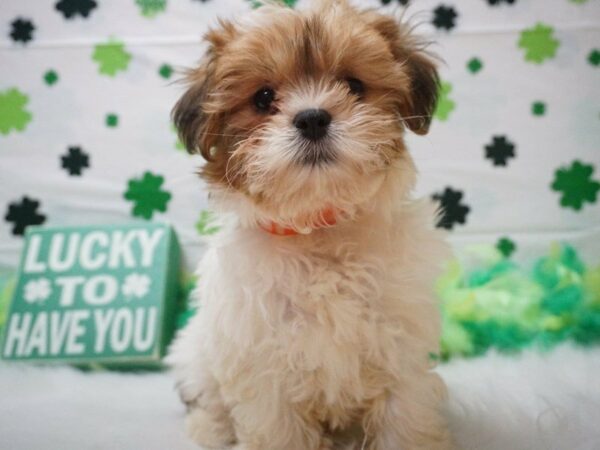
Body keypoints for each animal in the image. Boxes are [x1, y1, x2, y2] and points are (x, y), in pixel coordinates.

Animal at [166, 1, 452, 448]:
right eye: (264, 98)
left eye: (354, 85)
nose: (313, 118)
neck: (318, 228)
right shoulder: (262, 365)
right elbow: (277, 428)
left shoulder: (400, 348)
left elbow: (403, 419)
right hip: (195, 352)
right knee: (207, 396)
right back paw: (210, 429)